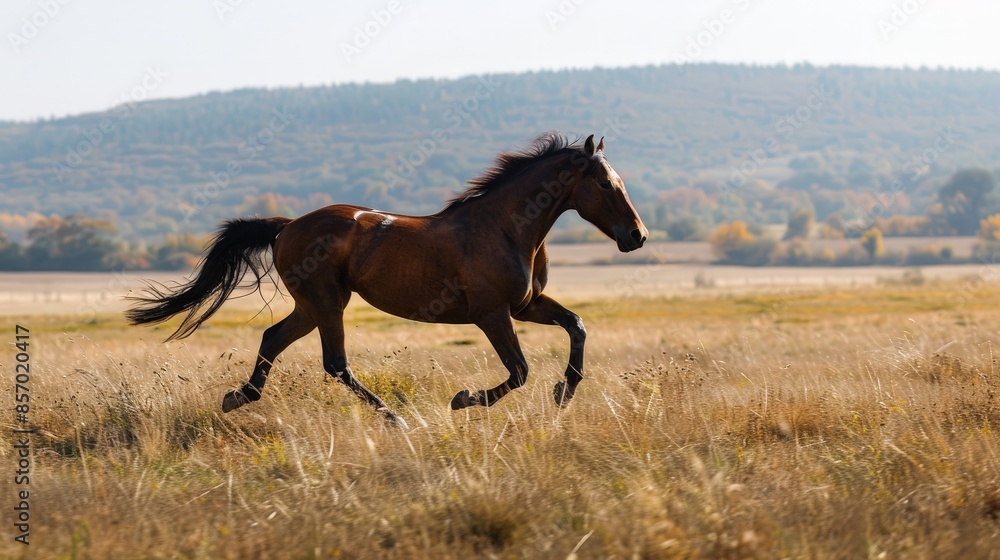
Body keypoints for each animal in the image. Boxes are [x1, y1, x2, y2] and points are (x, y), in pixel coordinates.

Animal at [126, 132, 647, 426]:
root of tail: (286, 226)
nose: (637, 236)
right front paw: (462, 400)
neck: (505, 228)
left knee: (274, 338)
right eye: (606, 184)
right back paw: (396, 419)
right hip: (327, 303)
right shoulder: (492, 314)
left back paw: (238, 397)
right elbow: (518, 371)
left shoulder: (525, 306)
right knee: (335, 363)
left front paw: (564, 394)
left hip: (311, 306)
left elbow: (577, 325)